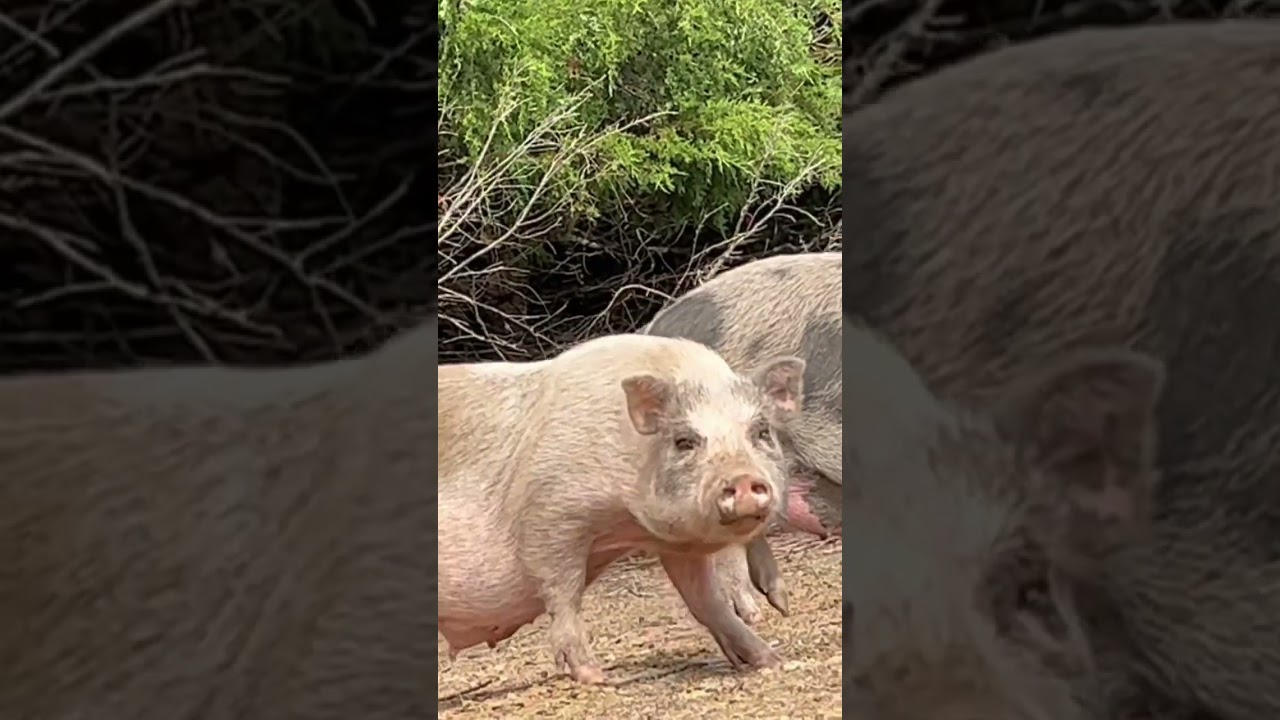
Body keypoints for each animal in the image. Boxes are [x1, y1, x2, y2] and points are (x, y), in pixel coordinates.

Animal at [436, 333, 816, 684]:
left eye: (761, 431)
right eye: (685, 441)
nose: (742, 479)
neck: (625, 524)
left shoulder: (677, 546)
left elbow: (707, 603)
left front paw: (771, 659)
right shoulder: (551, 515)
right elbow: (563, 595)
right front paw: (594, 677)